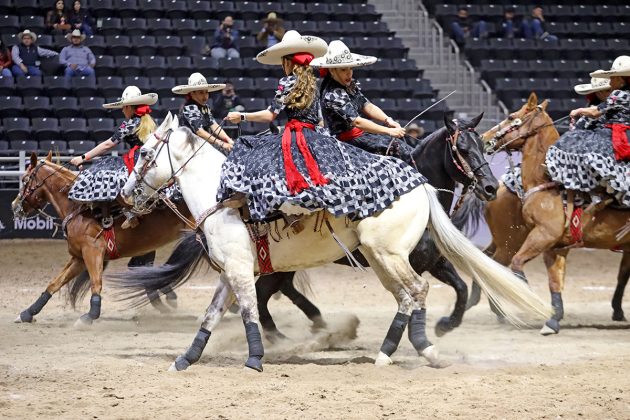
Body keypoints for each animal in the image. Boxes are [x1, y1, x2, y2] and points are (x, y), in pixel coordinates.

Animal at [10, 153, 193, 326]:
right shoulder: (79, 257)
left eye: (25, 179)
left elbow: (96, 283)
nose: (14, 205)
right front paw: (27, 313)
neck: (78, 208)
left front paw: (90, 315)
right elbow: (55, 283)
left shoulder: (93, 251)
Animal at [118, 114, 552, 370]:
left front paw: (253, 358)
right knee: (405, 295)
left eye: (146, 154)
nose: (126, 193)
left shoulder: (239, 270)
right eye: (462, 147)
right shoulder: (233, 270)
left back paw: (401, 347)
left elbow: (245, 312)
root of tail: (417, 187)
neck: (221, 193)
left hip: (384, 256)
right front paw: (186, 359)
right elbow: (215, 315)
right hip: (367, 259)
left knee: (412, 293)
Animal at [484, 92, 630, 334]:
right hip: (507, 241)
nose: (484, 138)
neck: (548, 180)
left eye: (512, 116)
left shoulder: (544, 236)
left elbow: (520, 265)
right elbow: (554, 281)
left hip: (508, 242)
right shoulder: (553, 244)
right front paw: (552, 320)